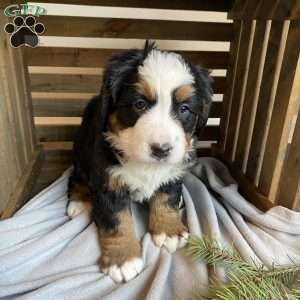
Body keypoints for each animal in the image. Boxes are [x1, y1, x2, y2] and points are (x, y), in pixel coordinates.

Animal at [67, 41, 213, 282]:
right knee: (76, 176)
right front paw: (122, 259)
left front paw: (168, 230)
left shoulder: (173, 171)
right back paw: (78, 201)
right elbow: (117, 220)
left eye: (184, 109)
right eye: (139, 104)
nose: (161, 149)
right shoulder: (108, 181)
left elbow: (166, 198)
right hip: (81, 151)